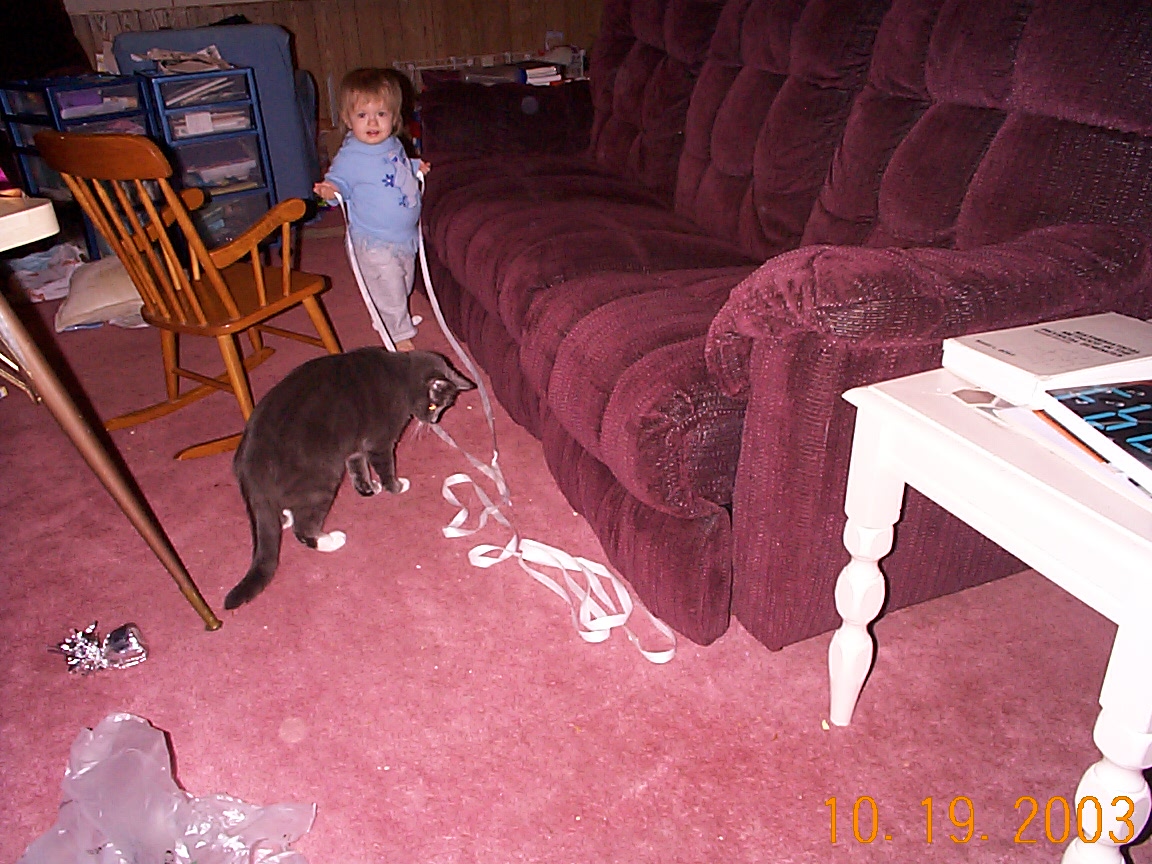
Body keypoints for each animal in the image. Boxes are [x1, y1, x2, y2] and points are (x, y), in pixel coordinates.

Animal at [224, 348, 474, 609]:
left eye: (444, 407)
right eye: (434, 405)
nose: (434, 421)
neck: (401, 375)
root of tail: (252, 464)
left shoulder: (355, 445)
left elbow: (358, 466)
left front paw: (368, 487)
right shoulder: (380, 441)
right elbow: (385, 467)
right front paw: (396, 486)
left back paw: (284, 517)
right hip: (321, 482)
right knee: (303, 528)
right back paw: (331, 540)